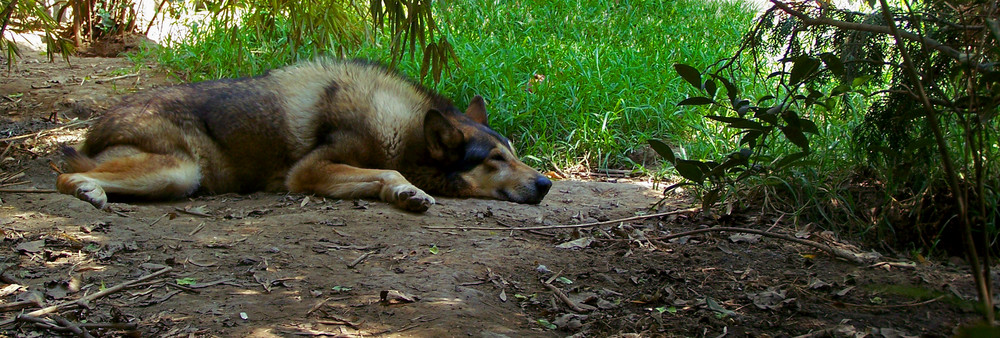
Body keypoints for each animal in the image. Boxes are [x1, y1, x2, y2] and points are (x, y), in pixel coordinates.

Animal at [58, 58, 552, 211]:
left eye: (515, 153)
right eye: (495, 159)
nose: (547, 183)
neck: (403, 128)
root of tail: (96, 128)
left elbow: (382, 174)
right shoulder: (307, 172)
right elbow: (389, 173)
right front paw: (407, 192)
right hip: (180, 170)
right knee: (65, 173)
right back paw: (87, 190)